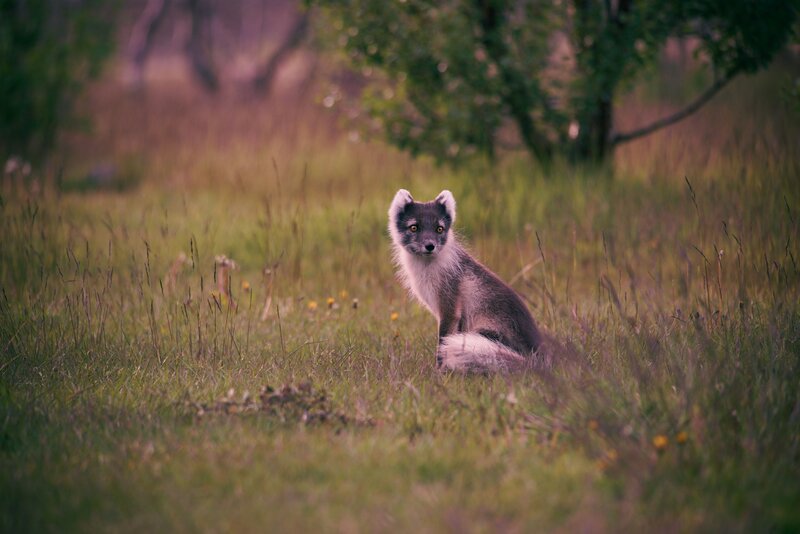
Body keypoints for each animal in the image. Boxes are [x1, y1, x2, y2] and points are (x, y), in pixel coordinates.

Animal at [388, 189, 543, 373]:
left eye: (439, 229)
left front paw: (438, 372)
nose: (430, 246)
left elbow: (442, 342)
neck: (427, 269)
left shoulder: (450, 309)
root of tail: (536, 358)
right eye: (414, 227)